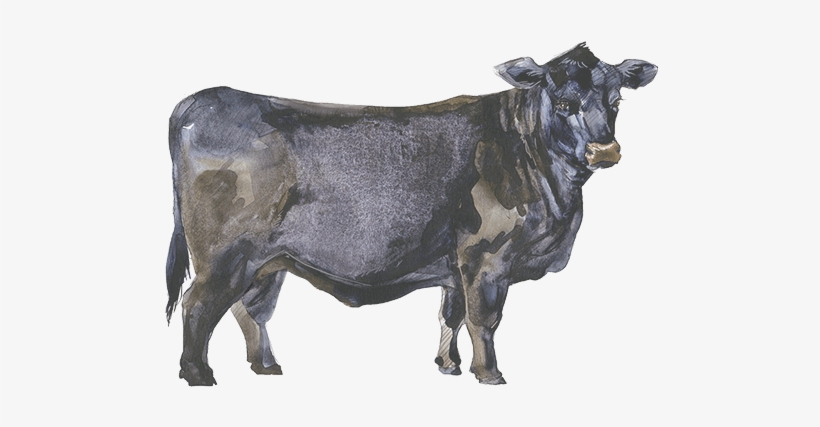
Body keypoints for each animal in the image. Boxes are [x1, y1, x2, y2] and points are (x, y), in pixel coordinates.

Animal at [165, 43, 656, 386]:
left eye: (616, 101)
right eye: (563, 102)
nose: (605, 150)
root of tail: (208, 97)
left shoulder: (454, 266)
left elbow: (450, 314)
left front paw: (448, 365)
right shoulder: (486, 258)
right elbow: (483, 319)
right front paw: (489, 374)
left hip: (268, 261)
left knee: (251, 310)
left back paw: (265, 366)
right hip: (225, 256)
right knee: (199, 304)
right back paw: (198, 375)